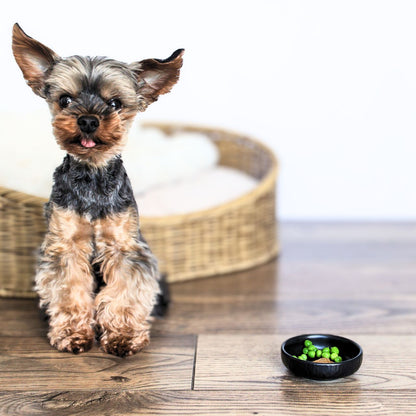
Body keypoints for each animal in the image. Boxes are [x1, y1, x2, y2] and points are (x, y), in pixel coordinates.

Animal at [11, 24, 184, 358]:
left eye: (115, 103)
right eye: (65, 100)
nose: (88, 120)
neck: (92, 177)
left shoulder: (124, 247)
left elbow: (124, 292)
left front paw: (123, 336)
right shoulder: (66, 246)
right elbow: (69, 290)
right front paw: (72, 333)